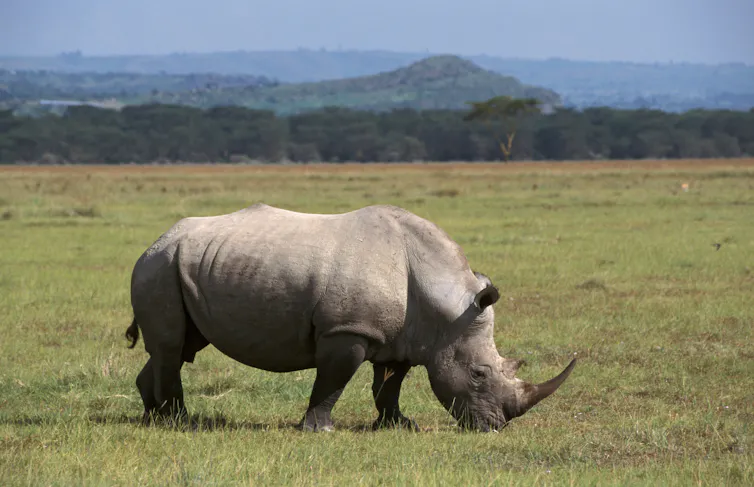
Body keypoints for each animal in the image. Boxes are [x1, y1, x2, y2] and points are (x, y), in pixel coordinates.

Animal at [125, 203, 575, 432]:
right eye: (479, 374)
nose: (496, 426)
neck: (445, 304)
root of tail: (155, 240)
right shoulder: (347, 330)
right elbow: (333, 382)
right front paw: (319, 430)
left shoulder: (402, 336)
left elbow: (389, 385)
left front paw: (399, 426)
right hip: (159, 266)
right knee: (172, 347)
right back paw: (180, 423)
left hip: (182, 264)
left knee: (181, 346)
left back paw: (151, 417)